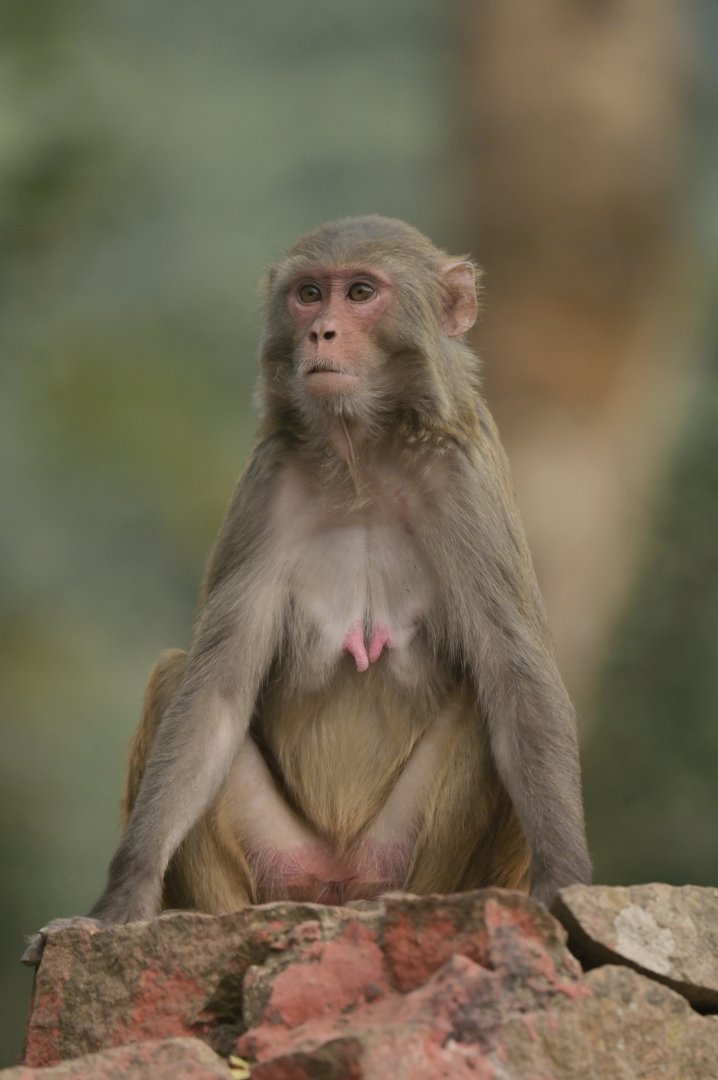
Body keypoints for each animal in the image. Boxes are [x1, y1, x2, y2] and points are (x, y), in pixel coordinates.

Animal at [25, 215, 591, 955]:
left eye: (361, 293)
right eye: (309, 294)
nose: (322, 331)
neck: (362, 455)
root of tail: (338, 883)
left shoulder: (465, 480)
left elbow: (515, 677)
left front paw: (565, 888)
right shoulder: (268, 483)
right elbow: (214, 691)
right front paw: (121, 901)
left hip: (397, 858)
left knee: (481, 705)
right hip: (285, 865)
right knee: (177, 678)